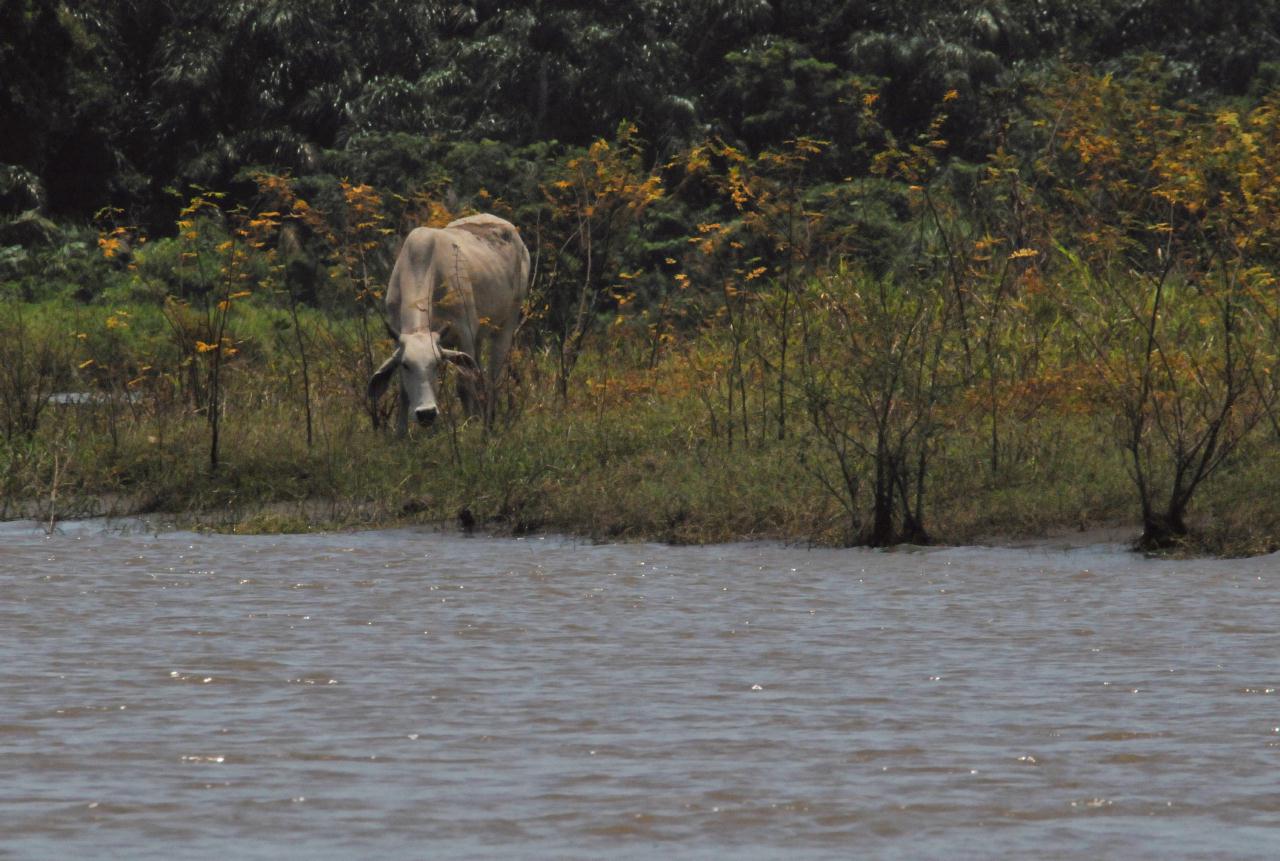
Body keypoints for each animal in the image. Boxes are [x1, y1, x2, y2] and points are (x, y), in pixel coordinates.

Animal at [371, 212, 529, 432]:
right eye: (406, 365)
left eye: (437, 364)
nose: (426, 414)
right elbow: (403, 390)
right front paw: (400, 432)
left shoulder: (464, 334)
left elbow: (464, 384)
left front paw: (470, 426)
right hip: (479, 337)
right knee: (480, 377)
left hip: (507, 322)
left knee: (492, 378)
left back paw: (487, 423)